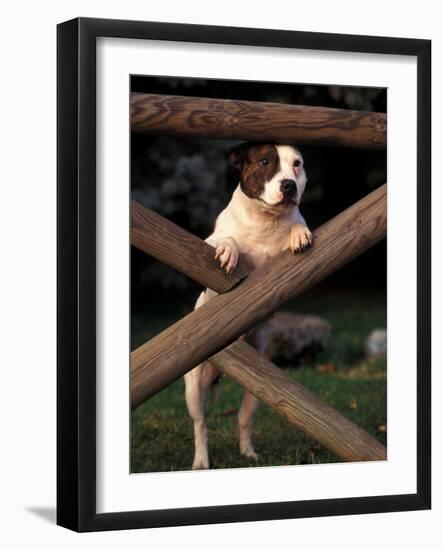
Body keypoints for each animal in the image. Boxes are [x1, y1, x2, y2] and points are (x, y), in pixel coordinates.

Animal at [185, 141, 312, 470]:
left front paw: (299, 232)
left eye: (297, 164)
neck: (265, 221)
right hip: (194, 386)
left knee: (244, 419)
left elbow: (298, 225)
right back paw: (201, 460)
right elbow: (225, 240)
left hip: (259, 388)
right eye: (265, 162)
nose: (289, 185)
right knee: (200, 424)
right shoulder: (208, 244)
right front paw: (229, 250)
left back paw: (248, 453)